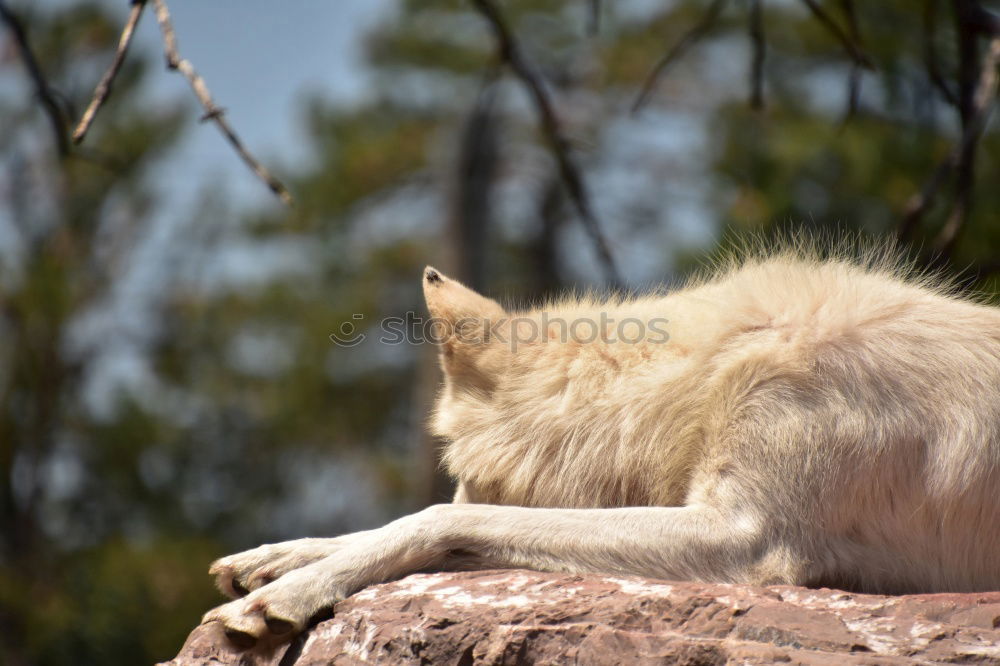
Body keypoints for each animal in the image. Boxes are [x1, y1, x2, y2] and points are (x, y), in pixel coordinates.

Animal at [203, 244, 1000, 644]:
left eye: (461, 473)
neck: (705, 373)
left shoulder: (745, 536)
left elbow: (437, 521)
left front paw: (284, 594)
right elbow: (415, 526)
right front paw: (277, 561)